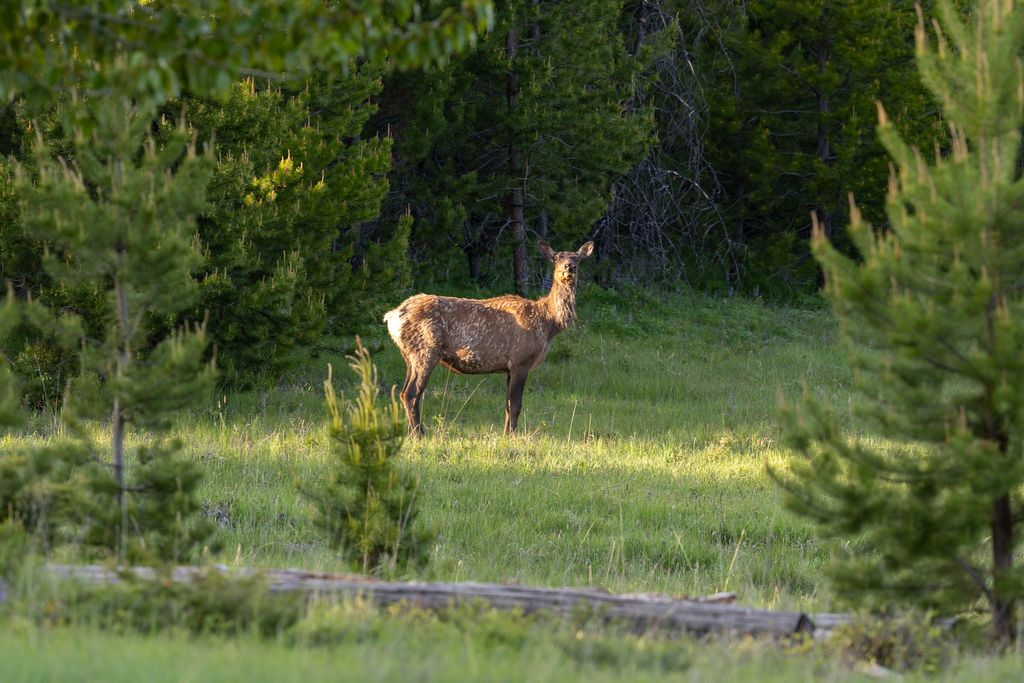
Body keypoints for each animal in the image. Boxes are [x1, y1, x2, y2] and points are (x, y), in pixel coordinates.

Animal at [383, 240, 594, 437]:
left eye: (577, 258)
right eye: (556, 257)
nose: (569, 267)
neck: (548, 323)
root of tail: (392, 317)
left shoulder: (509, 367)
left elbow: (508, 405)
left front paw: (506, 434)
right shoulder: (521, 360)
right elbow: (516, 405)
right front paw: (514, 435)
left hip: (409, 356)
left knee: (403, 392)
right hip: (425, 351)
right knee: (411, 394)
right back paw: (419, 435)